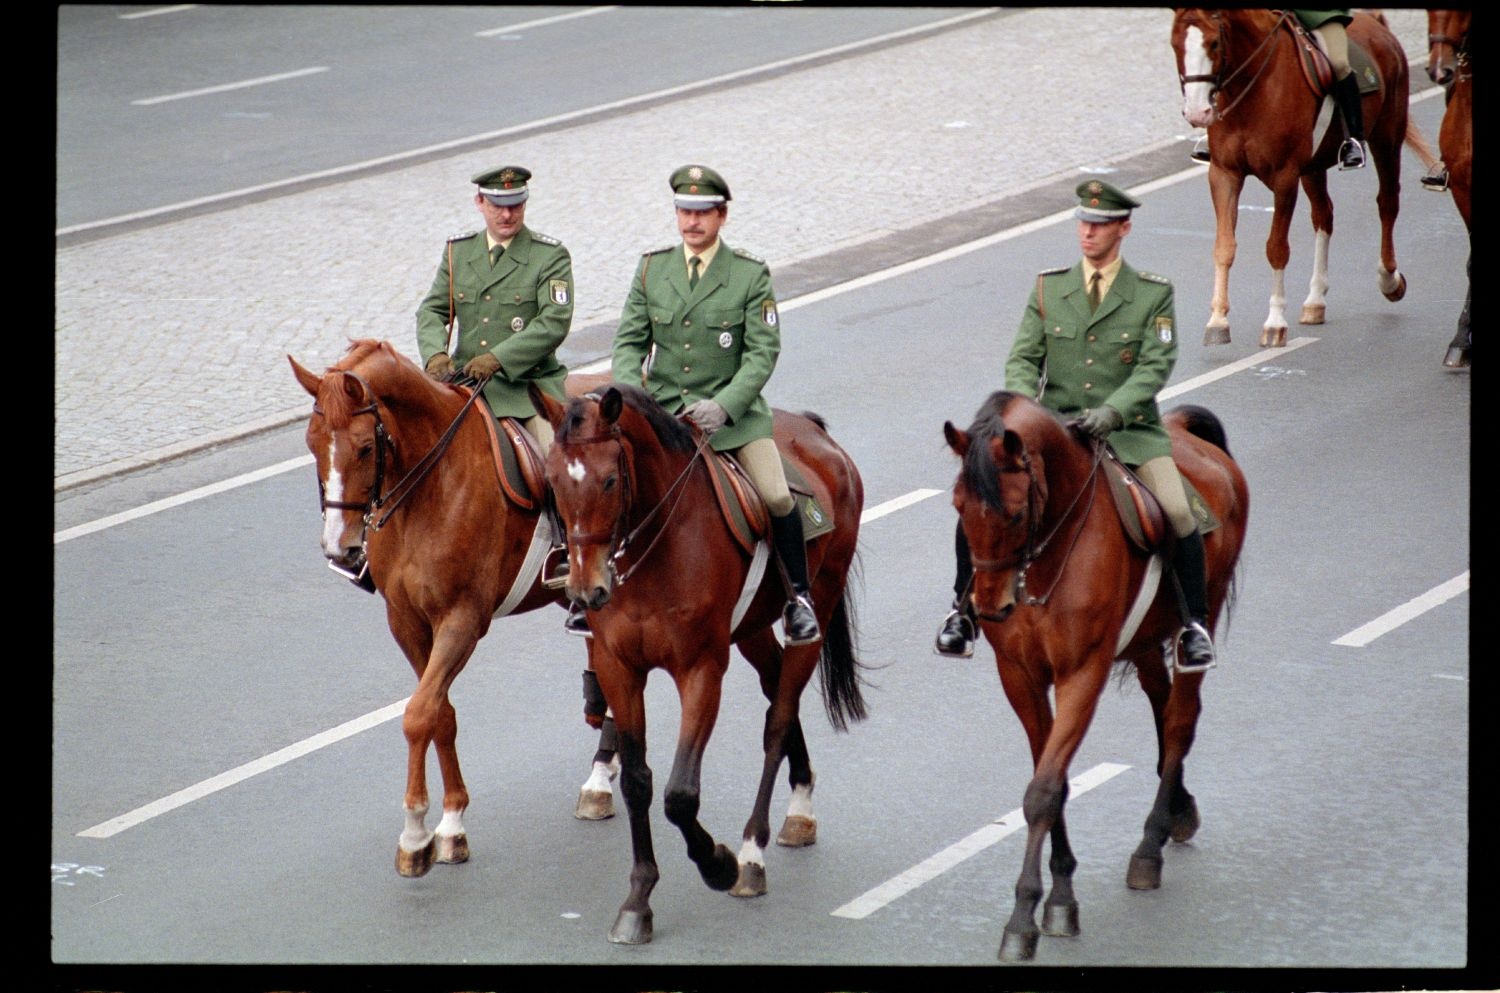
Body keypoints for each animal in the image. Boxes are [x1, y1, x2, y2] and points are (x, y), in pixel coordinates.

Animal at [285, 340, 603, 882]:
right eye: (311, 442)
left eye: (364, 448)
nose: (338, 547)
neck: (429, 488)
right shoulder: (407, 623)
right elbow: (440, 714)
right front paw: (450, 824)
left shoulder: (462, 621)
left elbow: (418, 715)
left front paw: (416, 834)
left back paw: (602, 779)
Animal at [537, 382, 870, 948]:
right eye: (555, 482)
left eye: (609, 480)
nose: (585, 591)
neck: (653, 547)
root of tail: (815, 431)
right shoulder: (618, 667)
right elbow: (638, 782)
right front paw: (639, 899)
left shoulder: (701, 670)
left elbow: (679, 794)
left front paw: (718, 863)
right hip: (753, 627)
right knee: (775, 688)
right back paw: (799, 807)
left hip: (817, 607)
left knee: (779, 717)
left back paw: (754, 852)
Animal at [942, 390, 1248, 966]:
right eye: (957, 508)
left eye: (1017, 513)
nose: (990, 607)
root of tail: (1183, 430)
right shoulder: (1020, 677)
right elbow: (1053, 781)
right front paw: (1060, 895)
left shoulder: (1082, 674)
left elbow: (1044, 789)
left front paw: (1024, 918)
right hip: (1144, 638)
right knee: (1161, 702)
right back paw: (1178, 810)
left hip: (1203, 606)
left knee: (1180, 719)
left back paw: (1150, 845)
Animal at [1170, 7, 1428, 348]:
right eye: (1175, 44)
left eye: (1214, 43)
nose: (1198, 113)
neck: (1254, 88)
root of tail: (1375, 23)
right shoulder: (1224, 174)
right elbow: (1224, 246)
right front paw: (1217, 321)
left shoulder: (1285, 178)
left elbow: (1276, 248)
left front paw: (1275, 322)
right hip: (1314, 167)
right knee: (1324, 215)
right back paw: (1315, 301)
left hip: (1387, 138)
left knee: (1387, 203)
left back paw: (1389, 280)